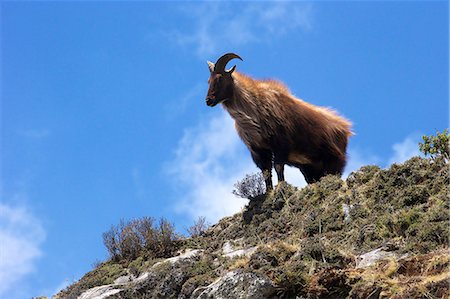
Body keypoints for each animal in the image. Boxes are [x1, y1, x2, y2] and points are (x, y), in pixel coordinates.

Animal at [206, 53, 354, 190]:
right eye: (209, 80)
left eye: (219, 78)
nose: (208, 100)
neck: (254, 110)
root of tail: (346, 129)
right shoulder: (259, 150)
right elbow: (266, 172)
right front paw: (269, 191)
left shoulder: (280, 144)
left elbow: (278, 167)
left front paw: (280, 187)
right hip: (310, 167)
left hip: (334, 160)